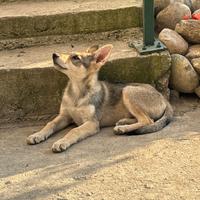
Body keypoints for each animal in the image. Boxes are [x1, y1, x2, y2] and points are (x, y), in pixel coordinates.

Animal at [27, 44, 173, 152]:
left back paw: (122, 129)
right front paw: (37, 135)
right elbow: (50, 124)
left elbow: (74, 130)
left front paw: (62, 141)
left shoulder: (91, 123)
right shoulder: (64, 116)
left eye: (75, 57)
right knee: (145, 119)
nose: (54, 55)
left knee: (148, 120)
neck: (77, 93)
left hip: (128, 90)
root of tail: (164, 98)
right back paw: (124, 122)